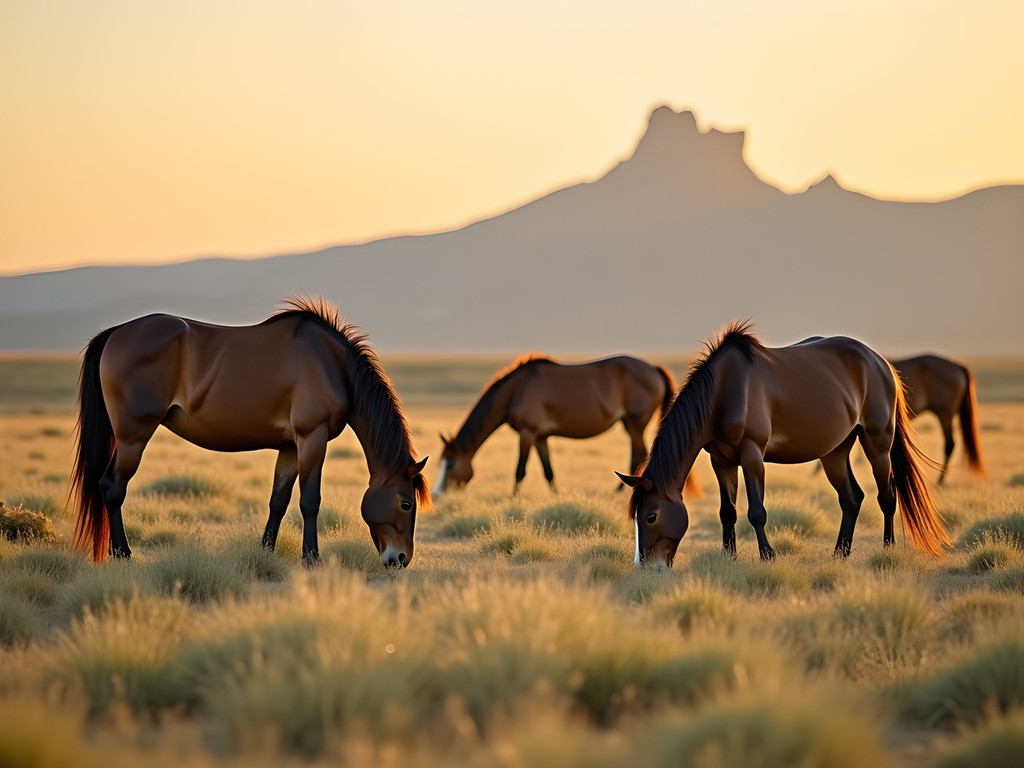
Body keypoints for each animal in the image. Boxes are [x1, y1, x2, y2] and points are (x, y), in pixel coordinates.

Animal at [69, 297, 430, 568]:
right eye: (406, 504)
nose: (401, 559)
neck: (331, 364)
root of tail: (115, 333)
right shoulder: (311, 438)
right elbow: (310, 501)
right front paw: (311, 557)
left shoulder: (290, 447)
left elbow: (278, 501)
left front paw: (266, 551)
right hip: (134, 436)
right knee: (113, 488)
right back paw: (123, 554)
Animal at [434, 354, 700, 497]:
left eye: (451, 464)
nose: (438, 493)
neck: (516, 390)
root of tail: (653, 369)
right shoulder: (541, 437)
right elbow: (548, 471)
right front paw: (555, 497)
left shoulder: (527, 434)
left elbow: (520, 470)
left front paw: (512, 499)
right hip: (629, 424)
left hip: (636, 423)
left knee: (641, 454)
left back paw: (620, 491)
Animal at [617, 322, 951, 568]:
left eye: (651, 517)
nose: (646, 568)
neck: (724, 391)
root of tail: (881, 363)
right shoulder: (721, 460)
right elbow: (728, 512)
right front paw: (729, 556)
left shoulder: (752, 455)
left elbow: (756, 511)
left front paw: (767, 555)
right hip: (835, 451)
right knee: (851, 498)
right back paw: (839, 553)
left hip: (877, 442)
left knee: (887, 496)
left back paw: (887, 549)